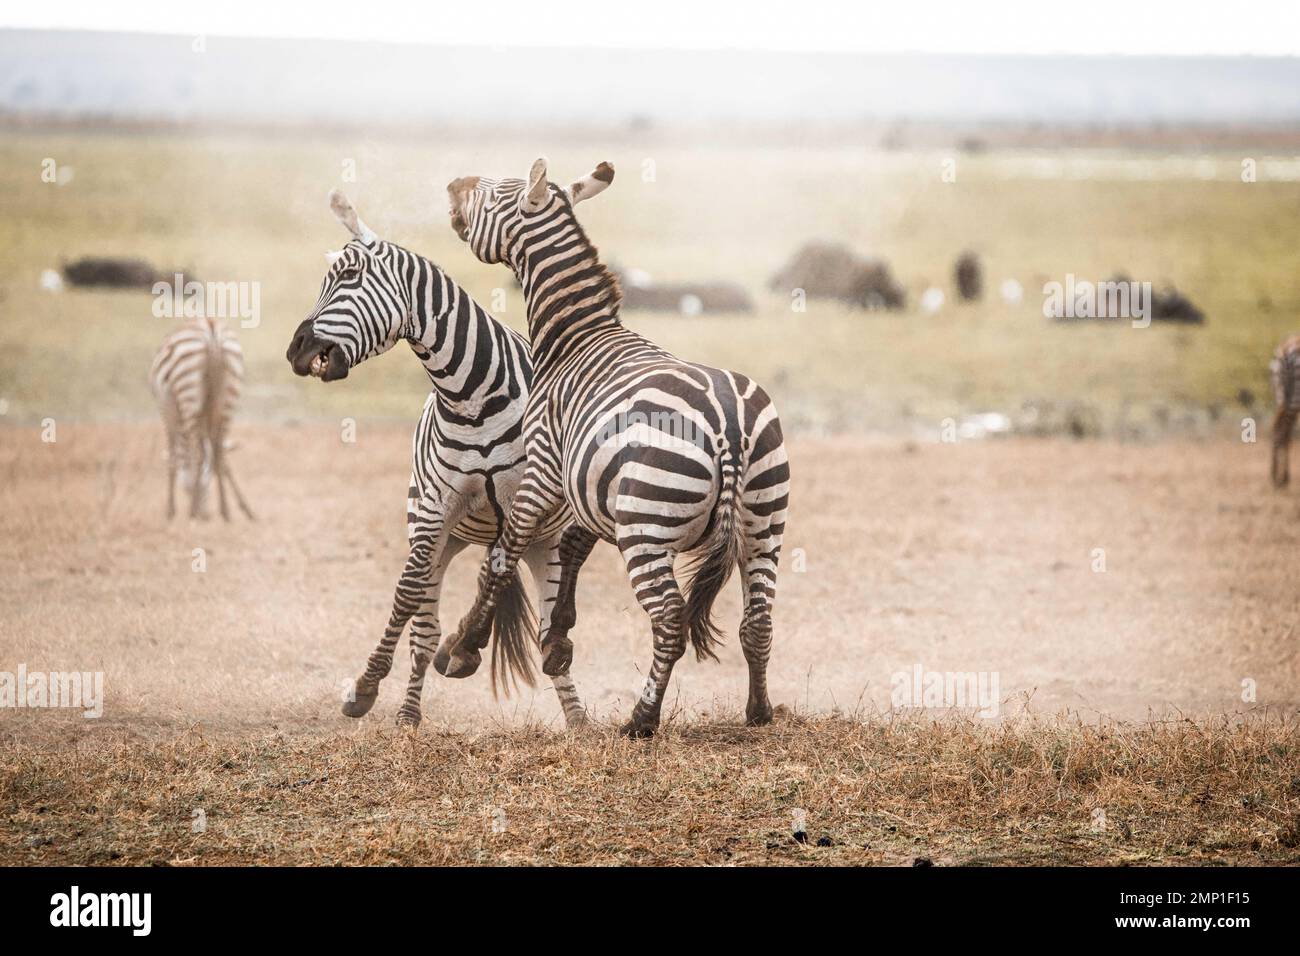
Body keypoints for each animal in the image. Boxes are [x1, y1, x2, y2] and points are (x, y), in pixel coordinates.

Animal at [150, 316, 255, 521]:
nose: (205, 514)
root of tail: (211, 330)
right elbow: (218, 456)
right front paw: (242, 509)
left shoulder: (167, 408)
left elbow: (174, 455)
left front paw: (170, 510)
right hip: (228, 397)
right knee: (218, 451)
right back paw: (226, 510)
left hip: (188, 392)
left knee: (197, 453)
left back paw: (192, 512)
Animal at [285, 189, 588, 728]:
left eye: (349, 276)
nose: (297, 350)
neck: (472, 396)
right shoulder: (434, 511)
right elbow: (407, 595)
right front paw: (365, 689)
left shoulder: (525, 504)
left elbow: (502, 582)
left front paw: (463, 647)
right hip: (442, 536)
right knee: (425, 630)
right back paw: (410, 712)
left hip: (544, 541)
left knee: (543, 625)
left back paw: (577, 719)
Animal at [435, 158, 790, 739]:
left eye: (496, 192)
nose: (452, 184)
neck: (575, 337)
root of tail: (728, 425)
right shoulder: (594, 488)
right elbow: (573, 548)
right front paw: (557, 640)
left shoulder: (545, 468)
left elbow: (505, 553)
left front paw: (463, 646)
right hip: (763, 522)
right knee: (757, 620)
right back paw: (758, 711)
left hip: (647, 526)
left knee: (669, 619)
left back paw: (641, 719)